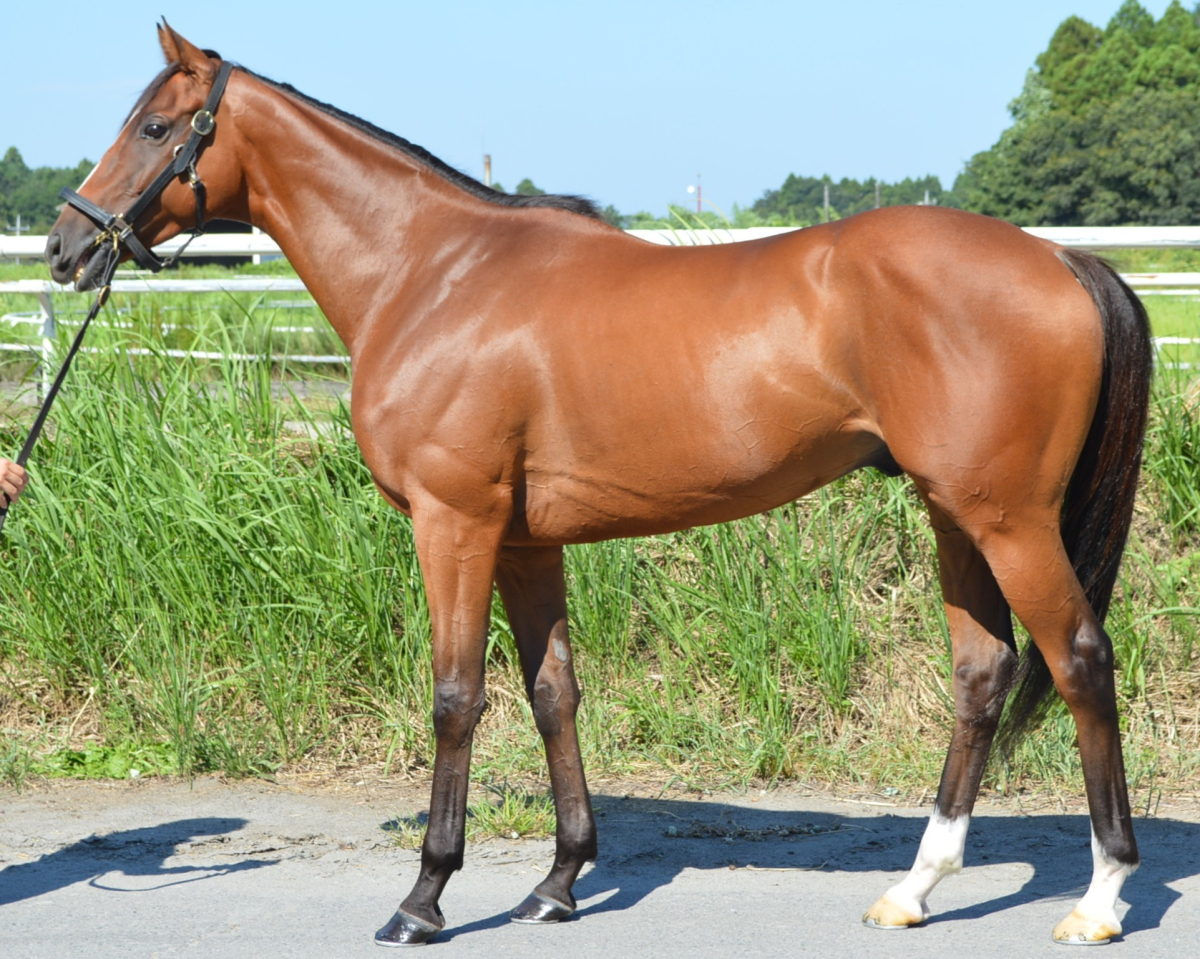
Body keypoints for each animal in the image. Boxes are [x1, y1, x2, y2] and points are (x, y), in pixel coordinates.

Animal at [46, 24, 1152, 947]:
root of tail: (1061, 258)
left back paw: (1100, 898)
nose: (65, 245)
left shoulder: (455, 524)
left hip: (1010, 521)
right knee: (983, 673)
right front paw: (558, 882)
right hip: (955, 515)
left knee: (1082, 661)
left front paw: (424, 896)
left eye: (155, 126)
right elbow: (553, 692)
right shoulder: (526, 539)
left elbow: (457, 695)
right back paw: (914, 888)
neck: (433, 274)